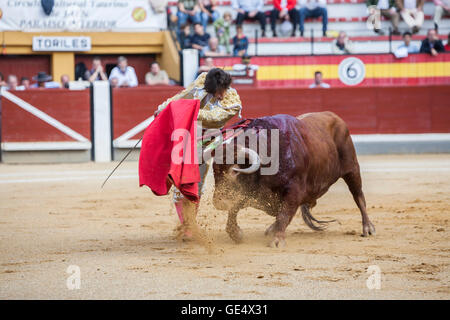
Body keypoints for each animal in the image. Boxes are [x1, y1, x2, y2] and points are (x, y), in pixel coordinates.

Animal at [211, 110, 376, 248]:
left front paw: (277, 240)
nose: (219, 202)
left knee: (358, 196)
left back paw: (368, 227)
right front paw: (237, 234)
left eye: (234, 171)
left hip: (352, 168)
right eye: (214, 171)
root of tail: (335, 117)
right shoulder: (248, 192)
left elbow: (284, 214)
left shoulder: (294, 191)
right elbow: (233, 210)